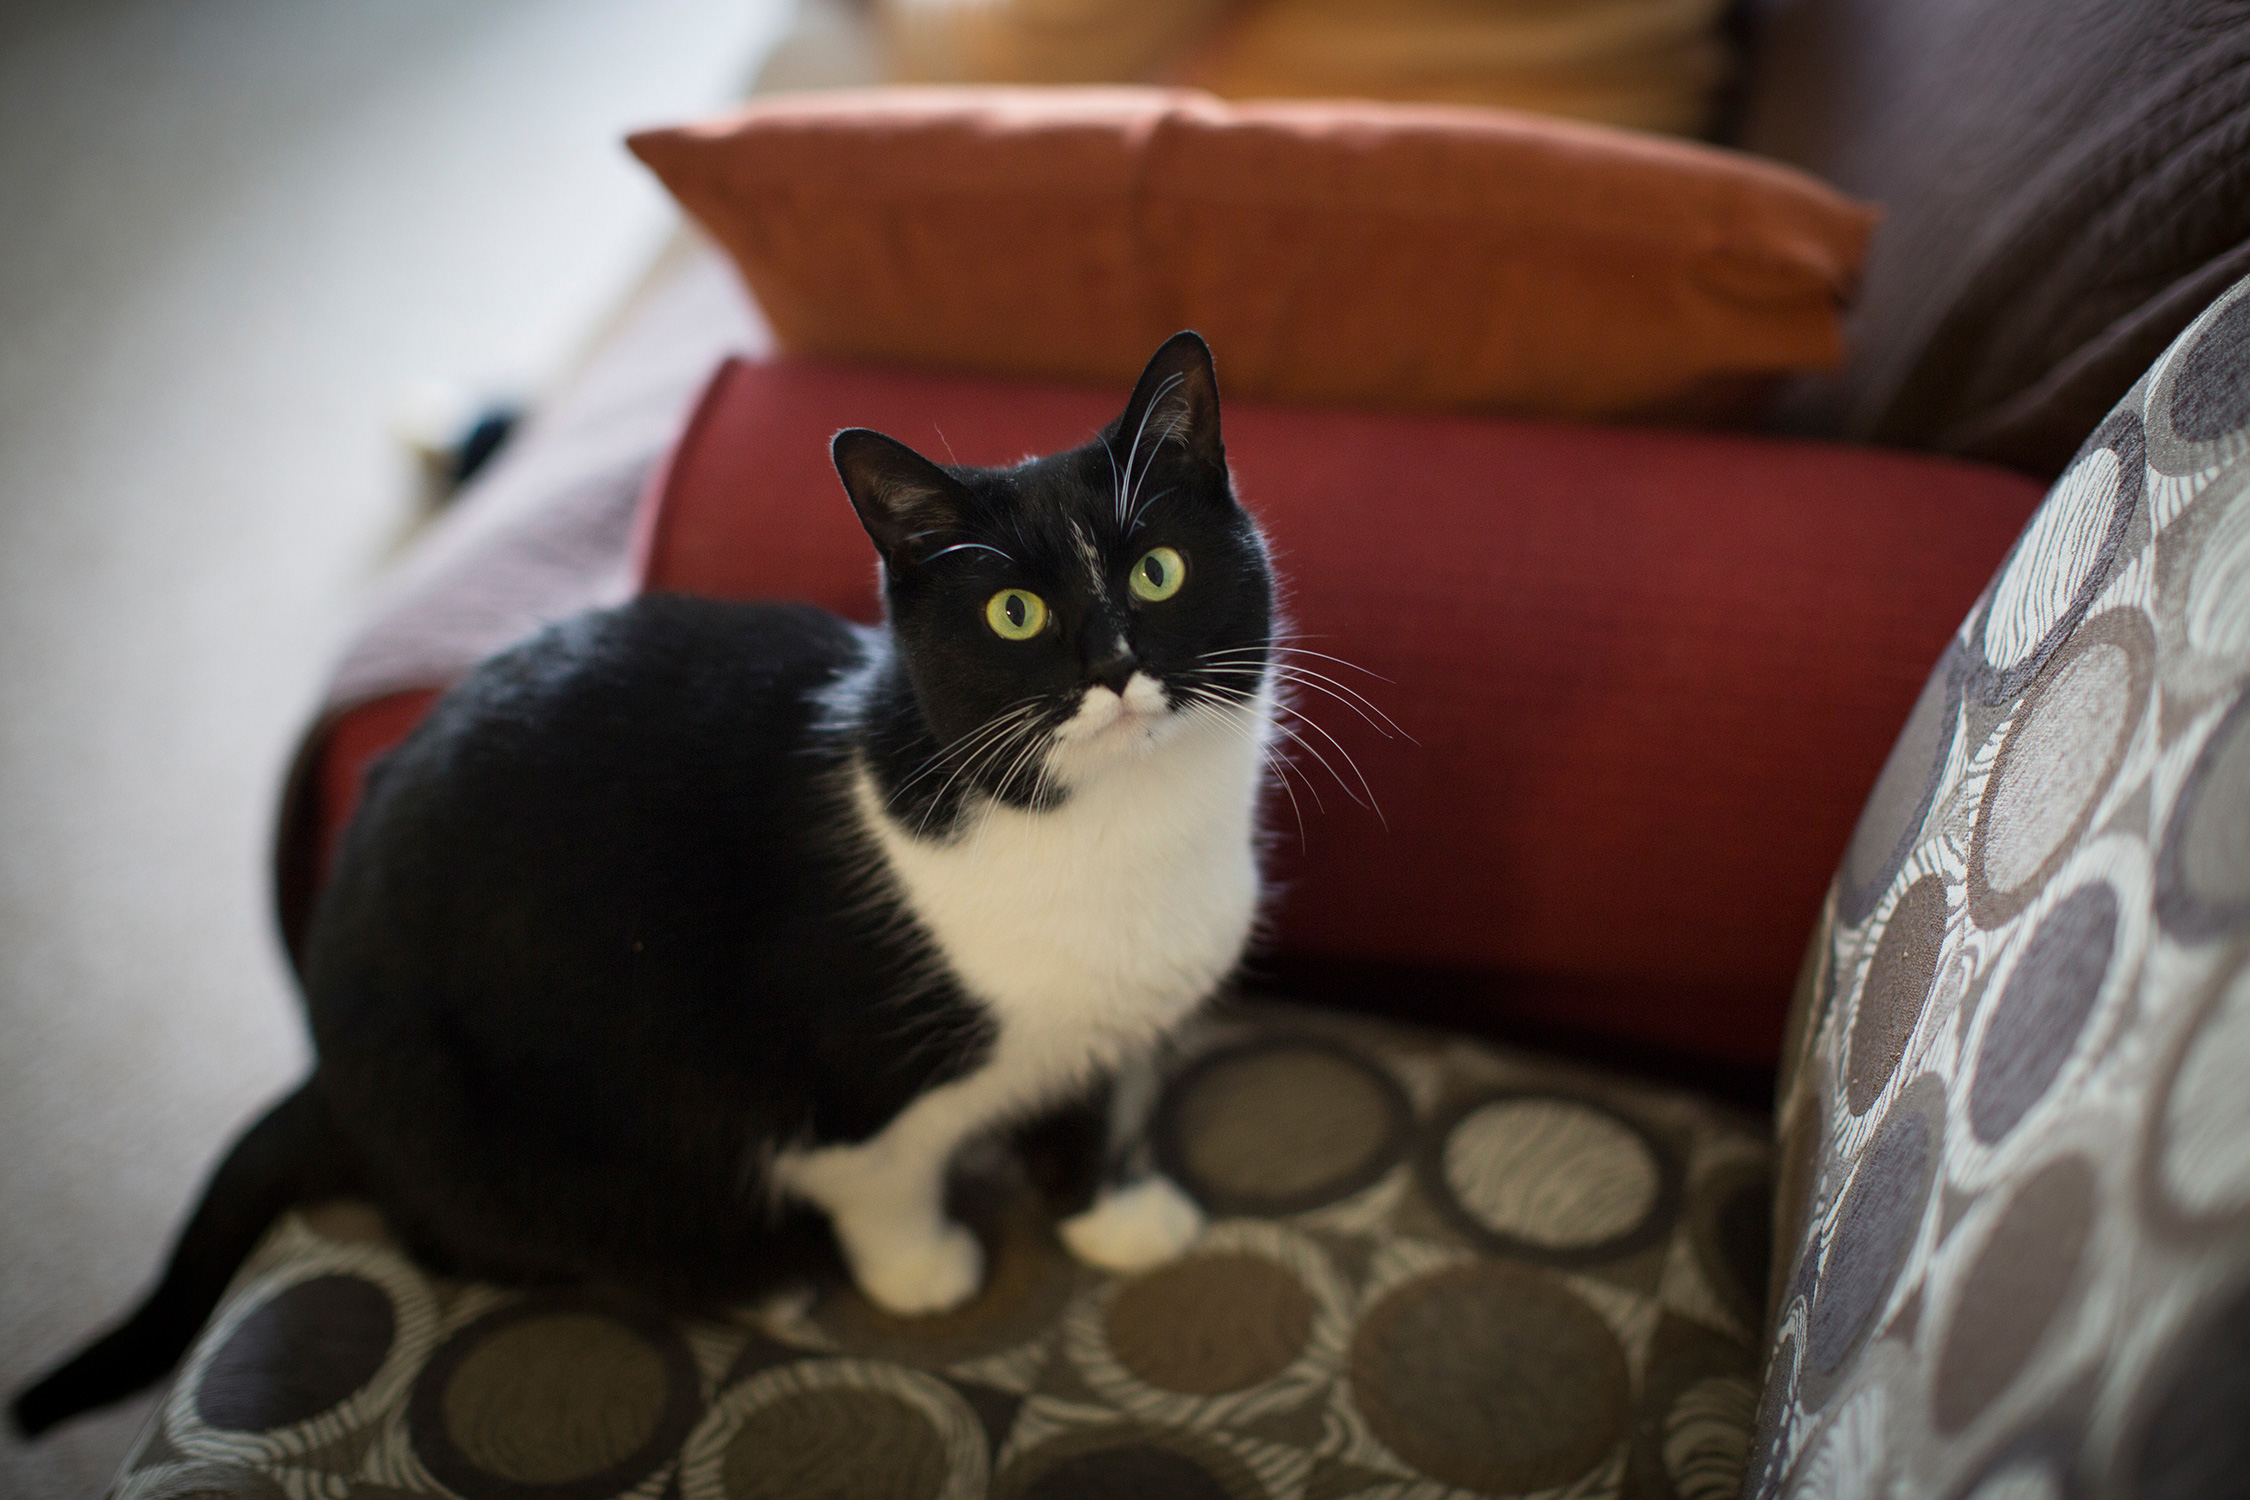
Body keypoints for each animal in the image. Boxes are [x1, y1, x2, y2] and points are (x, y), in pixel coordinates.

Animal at [13, 330, 1287, 1439]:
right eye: (1014, 612)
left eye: (1158, 571)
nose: (1116, 667)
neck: (1117, 825)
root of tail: (326, 1073)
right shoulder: (823, 1070)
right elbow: (879, 1172)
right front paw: (920, 1269)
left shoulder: (1098, 1030)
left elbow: (1084, 1107)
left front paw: (1116, 1217)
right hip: (495, 1143)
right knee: (482, 1236)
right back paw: (752, 1277)